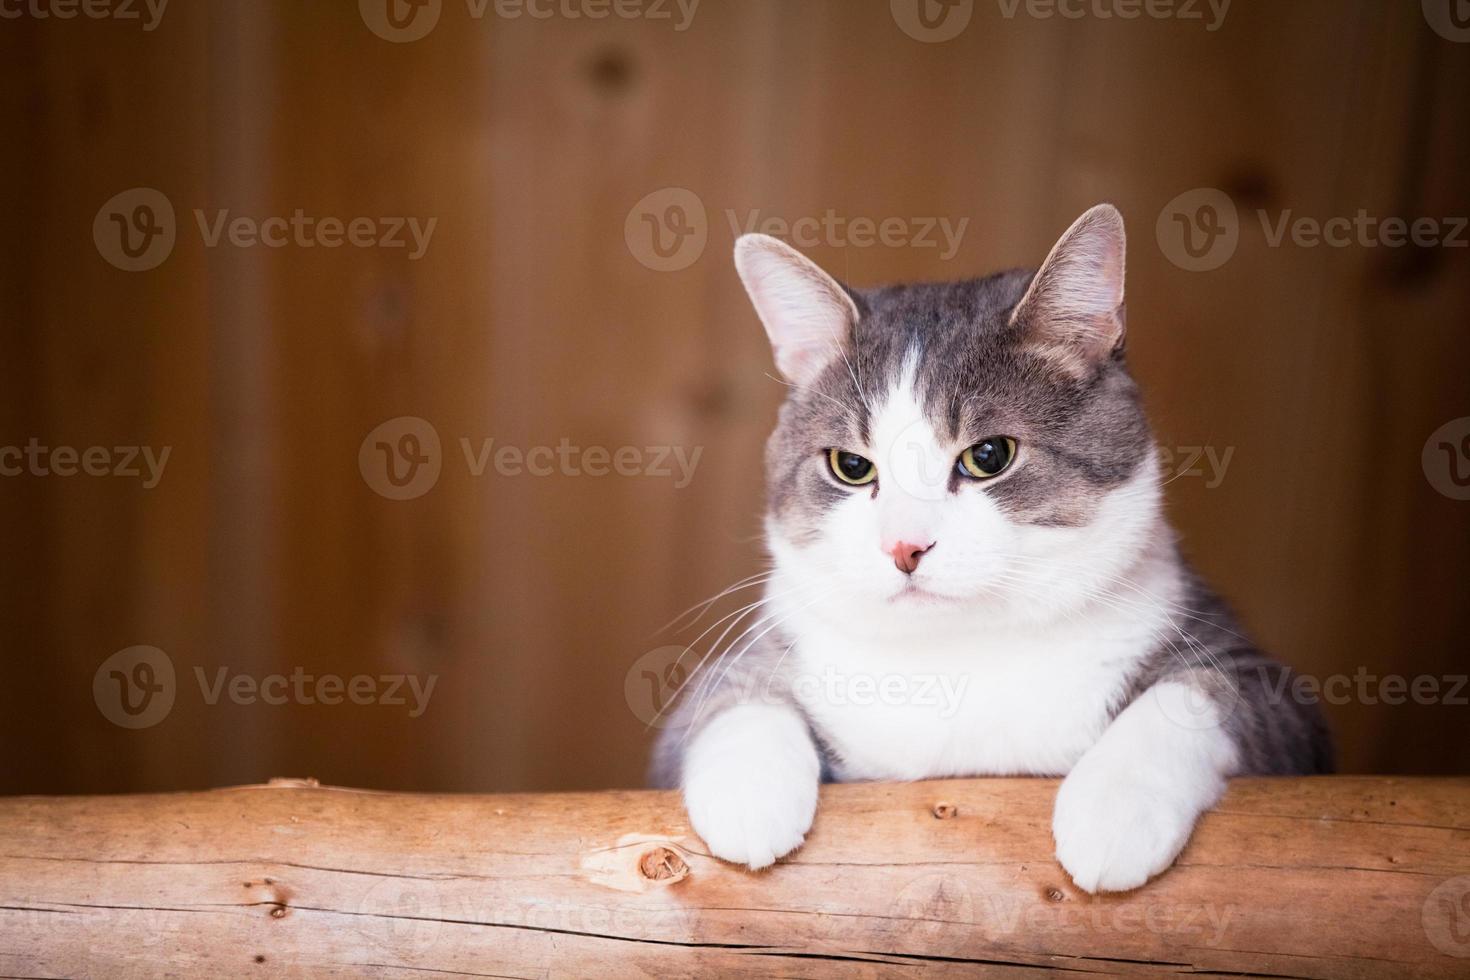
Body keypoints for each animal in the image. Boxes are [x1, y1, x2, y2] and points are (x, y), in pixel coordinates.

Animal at [652, 202, 1334, 893]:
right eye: (851, 466)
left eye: (988, 455)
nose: (904, 546)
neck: (963, 655)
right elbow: (732, 696)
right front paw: (747, 799)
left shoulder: (1278, 701)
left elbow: (1197, 692)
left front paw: (1116, 807)